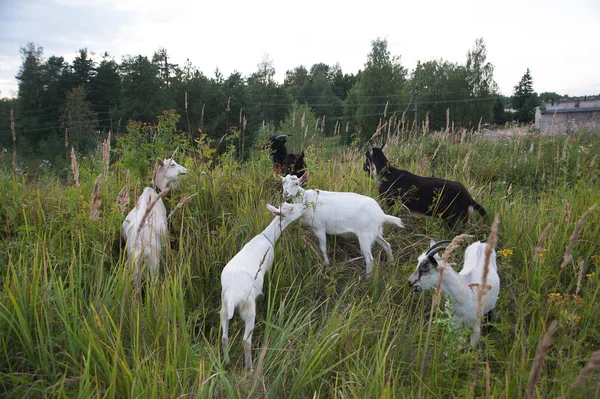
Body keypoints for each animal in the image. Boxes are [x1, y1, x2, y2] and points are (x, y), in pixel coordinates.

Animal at [120, 158, 186, 292]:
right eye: (172, 164)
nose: (185, 170)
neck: (154, 192)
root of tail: (142, 246)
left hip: (134, 265)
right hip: (153, 263)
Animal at [219, 203, 304, 372]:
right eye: (291, 209)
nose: (304, 207)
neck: (267, 237)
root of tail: (232, 297)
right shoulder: (269, 261)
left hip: (224, 308)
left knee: (224, 338)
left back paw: (227, 362)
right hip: (249, 310)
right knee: (246, 341)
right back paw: (250, 368)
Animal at [276, 173, 404, 282]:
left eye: (297, 183)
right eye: (282, 182)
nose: (286, 194)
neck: (305, 200)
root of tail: (381, 214)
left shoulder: (320, 228)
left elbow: (323, 248)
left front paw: (327, 265)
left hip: (365, 235)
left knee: (370, 258)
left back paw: (367, 278)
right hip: (375, 232)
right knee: (387, 245)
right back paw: (391, 264)